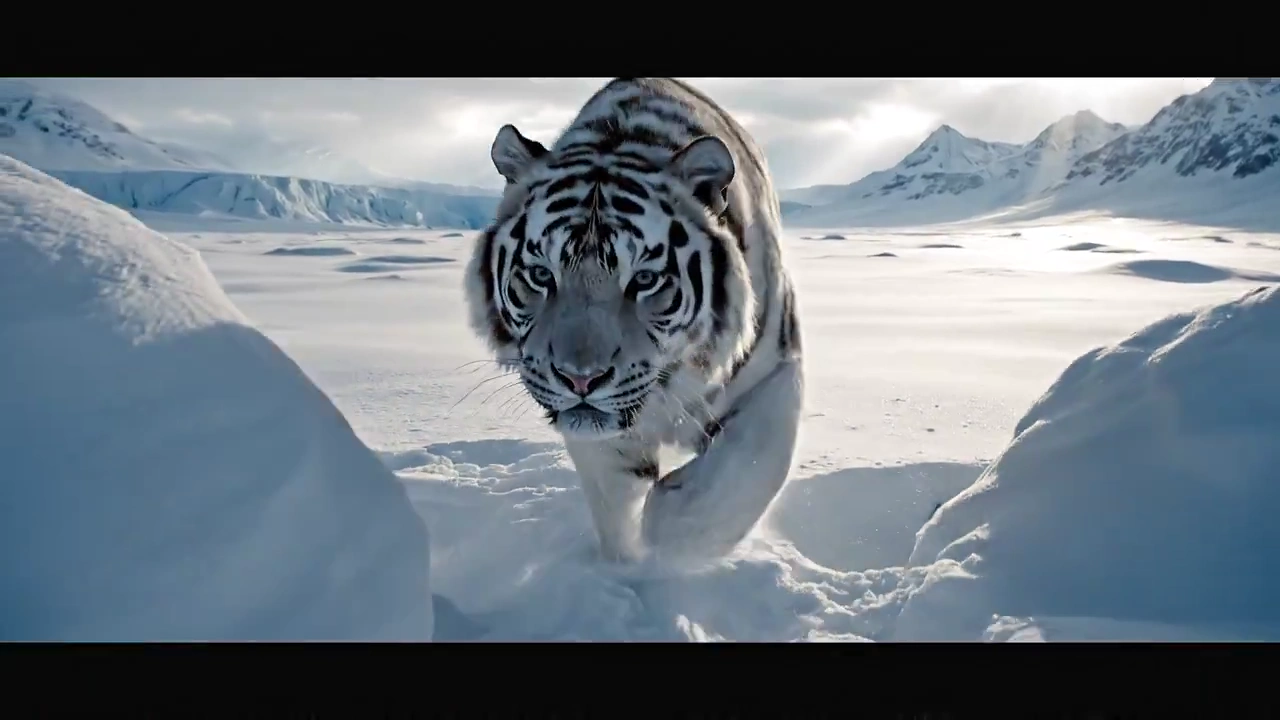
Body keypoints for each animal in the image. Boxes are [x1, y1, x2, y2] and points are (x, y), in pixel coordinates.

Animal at [464, 77, 803, 562]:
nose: (580, 379)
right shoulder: (601, 436)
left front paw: (670, 531)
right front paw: (630, 565)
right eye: (541, 275)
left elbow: (746, 471)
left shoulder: (777, 368)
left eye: (643, 279)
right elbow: (614, 502)